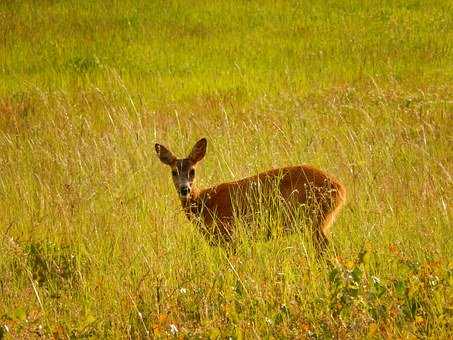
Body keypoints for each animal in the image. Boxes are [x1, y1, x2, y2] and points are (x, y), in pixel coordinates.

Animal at [155, 137, 346, 254]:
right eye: (173, 172)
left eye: (192, 171)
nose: (184, 189)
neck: (206, 202)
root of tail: (341, 189)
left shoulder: (230, 234)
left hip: (315, 219)